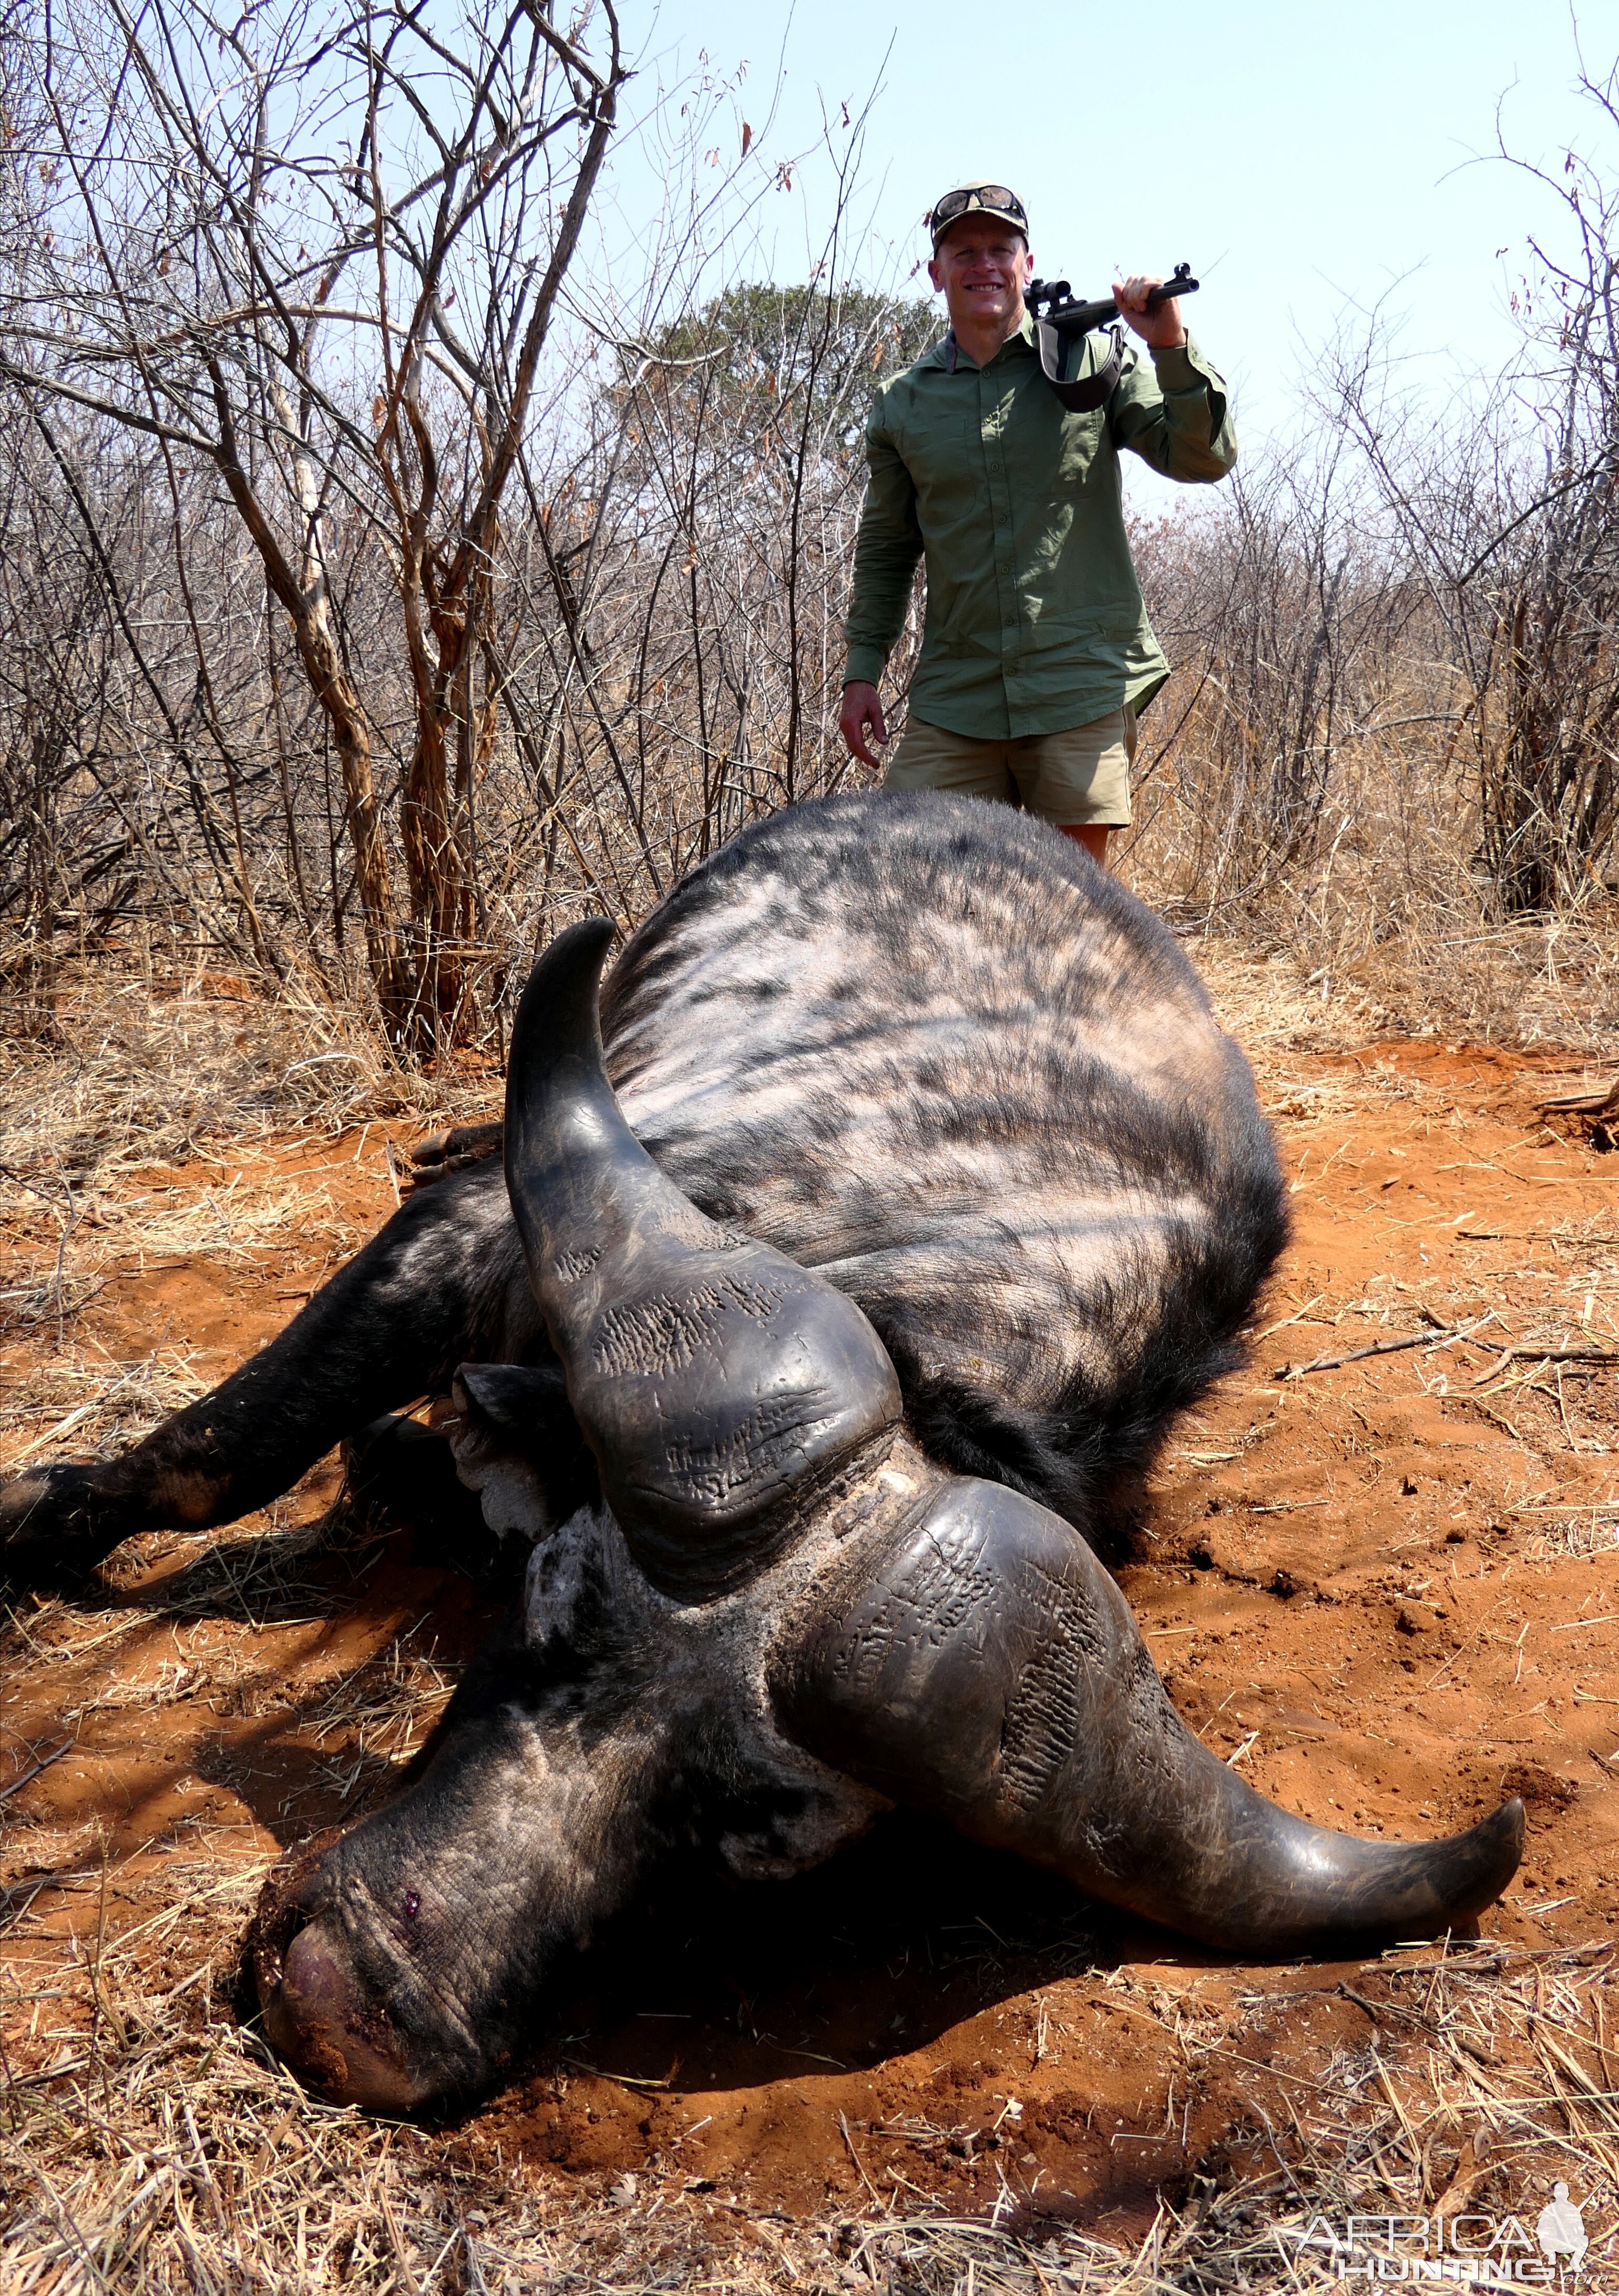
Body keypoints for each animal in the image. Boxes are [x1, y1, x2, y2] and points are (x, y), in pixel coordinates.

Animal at [0, 799, 1515, 2103]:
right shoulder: (461, 1238)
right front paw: (41, 1524)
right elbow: (222, 1450)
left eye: (745, 1842)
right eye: (552, 1608)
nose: (347, 2003)